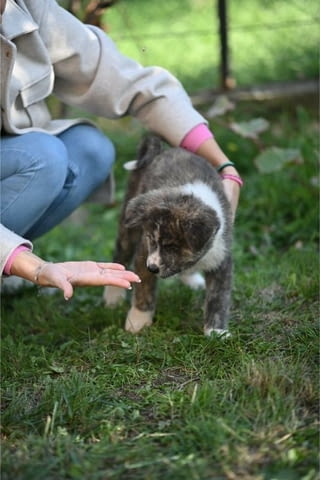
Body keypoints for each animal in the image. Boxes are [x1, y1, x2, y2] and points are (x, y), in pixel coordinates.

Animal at [104, 134, 234, 338]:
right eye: (151, 239)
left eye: (172, 246)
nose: (152, 268)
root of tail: (161, 152)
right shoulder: (144, 253)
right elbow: (144, 288)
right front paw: (138, 320)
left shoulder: (221, 256)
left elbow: (218, 297)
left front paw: (216, 331)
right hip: (129, 224)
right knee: (121, 256)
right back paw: (113, 296)